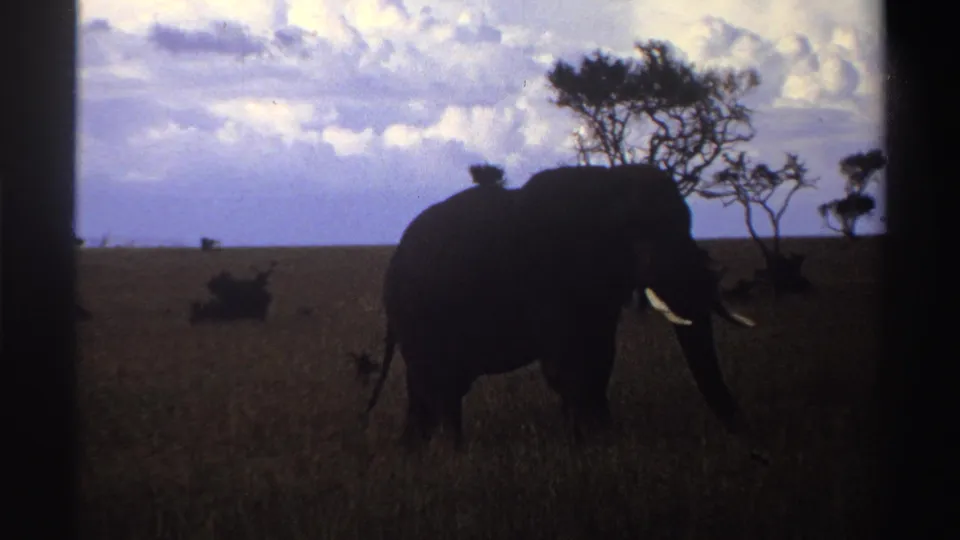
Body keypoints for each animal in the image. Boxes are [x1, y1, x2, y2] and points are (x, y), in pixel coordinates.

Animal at [364, 164, 759, 452]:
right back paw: (448, 454)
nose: (753, 444)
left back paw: (421, 453)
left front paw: (601, 441)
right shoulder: (546, 277)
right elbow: (567, 364)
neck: (608, 186)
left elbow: (600, 359)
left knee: (436, 387)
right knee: (438, 383)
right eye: (643, 233)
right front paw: (590, 445)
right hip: (416, 313)